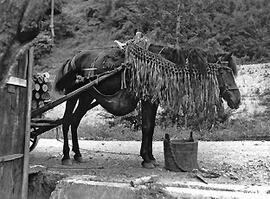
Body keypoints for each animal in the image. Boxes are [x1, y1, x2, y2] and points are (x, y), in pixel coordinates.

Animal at [53, 41, 240, 169]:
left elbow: (151, 127)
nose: (237, 99)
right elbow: (147, 126)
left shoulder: (153, 99)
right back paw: (66, 156)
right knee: (66, 121)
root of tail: (72, 59)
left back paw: (77, 154)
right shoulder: (147, 99)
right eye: (225, 72)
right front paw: (146, 159)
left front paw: (150, 157)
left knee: (75, 121)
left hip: (86, 96)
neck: (162, 65)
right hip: (73, 95)